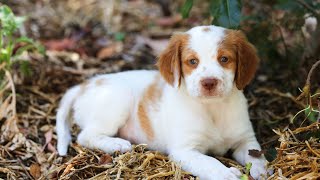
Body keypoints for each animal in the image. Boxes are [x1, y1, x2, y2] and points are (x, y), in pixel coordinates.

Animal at [57, 25, 268, 179]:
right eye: (192, 62)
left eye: (224, 59)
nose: (209, 82)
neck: (212, 108)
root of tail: (84, 85)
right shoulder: (185, 151)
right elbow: (211, 163)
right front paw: (228, 174)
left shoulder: (245, 139)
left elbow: (256, 154)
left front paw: (262, 170)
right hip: (118, 100)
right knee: (85, 136)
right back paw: (117, 143)